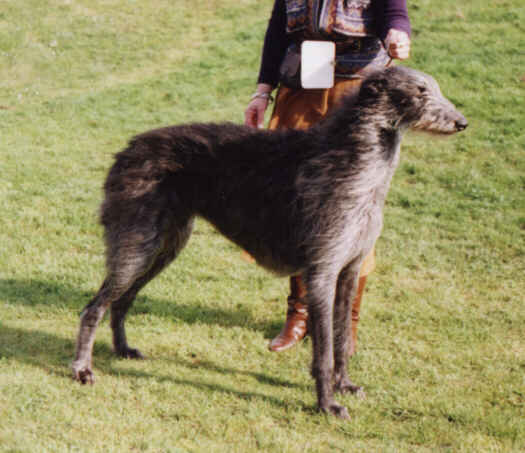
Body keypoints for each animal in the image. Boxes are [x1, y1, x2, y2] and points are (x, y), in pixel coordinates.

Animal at [70, 65, 466, 418]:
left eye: (434, 87)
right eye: (420, 91)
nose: (462, 122)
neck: (356, 160)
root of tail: (130, 146)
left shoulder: (350, 268)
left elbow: (341, 338)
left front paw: (344, 385)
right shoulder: (322, 270)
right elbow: (324, 350)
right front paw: (327, 404)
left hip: (164, 246)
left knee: (120, 302)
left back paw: (122, 349)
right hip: (136, 245)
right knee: (94, 307)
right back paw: (82, 368)